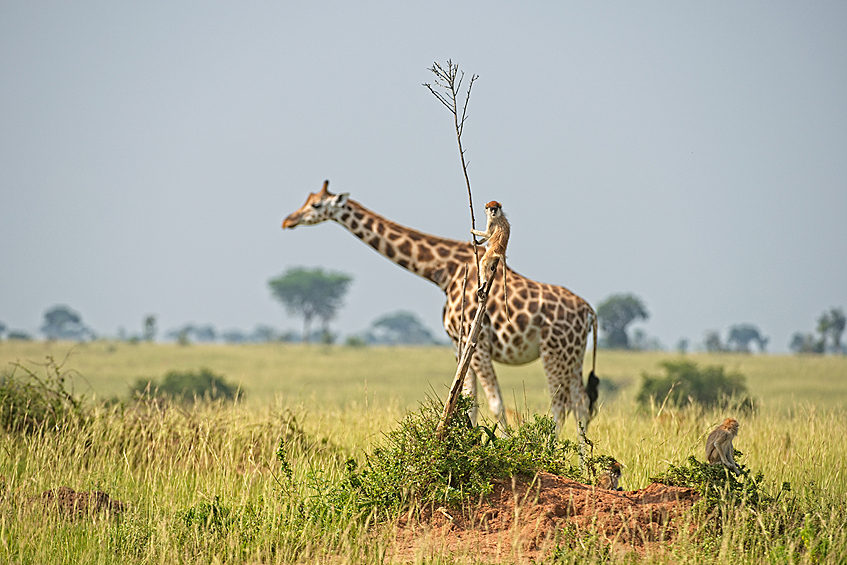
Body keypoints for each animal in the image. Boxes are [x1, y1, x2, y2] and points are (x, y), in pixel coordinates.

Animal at [282, 182, 600, 436]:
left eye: (316, 204)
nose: (288, 220)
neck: (444, 271)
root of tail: (589, 312)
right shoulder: (459, 344)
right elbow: (467, 402)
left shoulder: (477, 343)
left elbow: (495, 403)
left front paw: (501, 446)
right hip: (573, 355)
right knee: (581, 403)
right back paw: (583, 463)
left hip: (553, 351)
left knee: (559, 405)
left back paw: (551, 452)